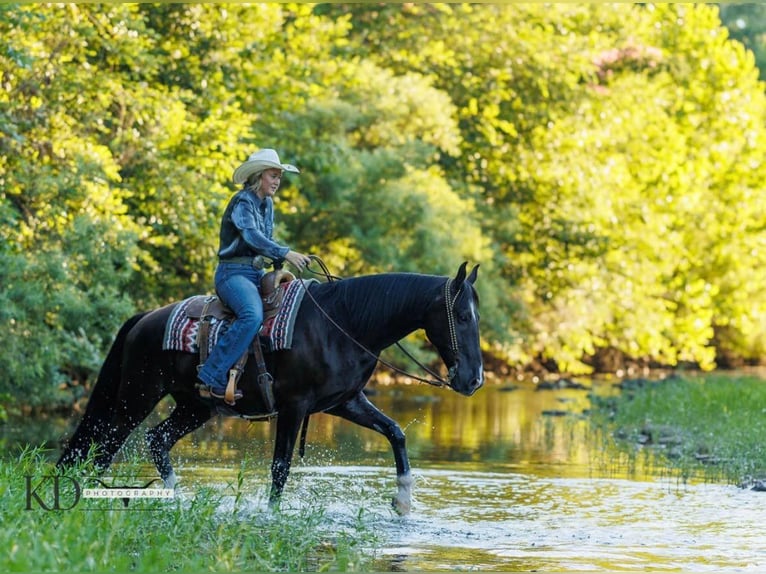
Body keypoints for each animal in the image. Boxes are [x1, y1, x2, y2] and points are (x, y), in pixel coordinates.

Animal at [57, 262, 484, 514]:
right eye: (462, 316)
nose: (474, 380)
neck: (344, 323)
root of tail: (145, 317)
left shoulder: (345, 402)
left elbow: (395, 432)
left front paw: (403, 500)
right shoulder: (295, 406)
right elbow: (280, 466)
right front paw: (272, 514)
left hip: (194, 407)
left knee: (156, 439)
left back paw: (175, 498)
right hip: (137, 396)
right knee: (105, 443)